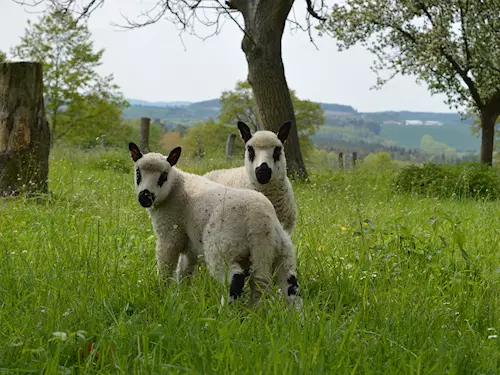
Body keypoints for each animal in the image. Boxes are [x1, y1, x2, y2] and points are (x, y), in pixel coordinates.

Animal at [129, 142, 300, 310]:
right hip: (281, 250)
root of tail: (259, 221)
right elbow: (185, 270)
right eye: (138, 172)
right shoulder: (190, 244)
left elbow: (166, 268)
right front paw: (182, 295)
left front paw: (162, 293)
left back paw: (226, 312)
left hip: (223, 246)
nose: (145, 197)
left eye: (163, 176)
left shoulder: (170, 236)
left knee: (235, 279)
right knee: (288, 285)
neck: (174, 188)